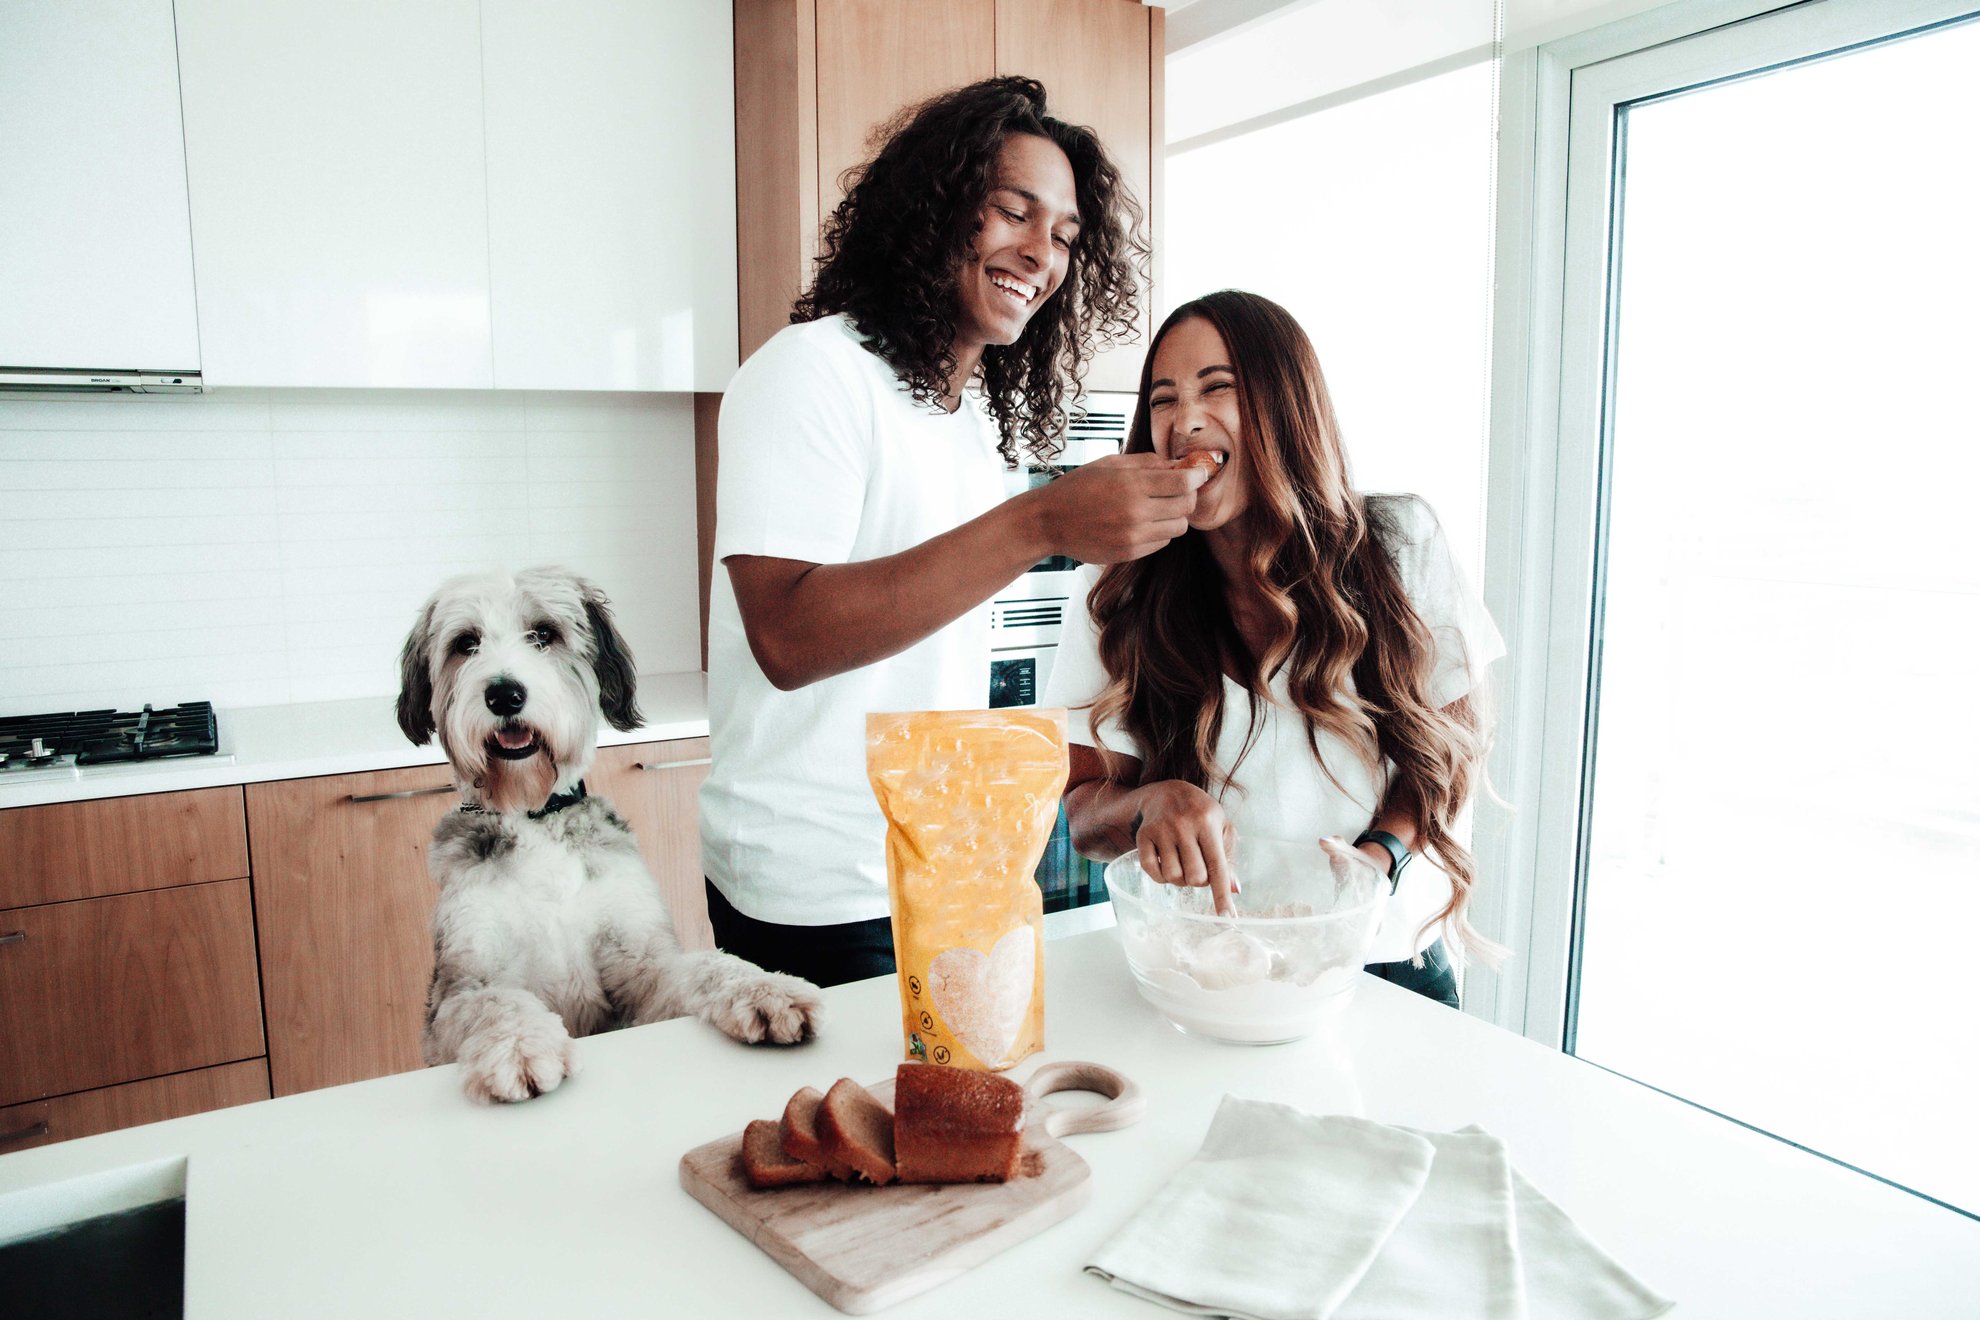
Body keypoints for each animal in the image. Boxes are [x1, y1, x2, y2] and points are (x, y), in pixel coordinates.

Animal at [397, 569, 815, 1108]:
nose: (505, 695)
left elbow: (704, 964)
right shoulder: (464, 981)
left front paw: (765, 990)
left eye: (544, 633)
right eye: (465, 643)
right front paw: (519, 1046)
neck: (535, 816)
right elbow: (495, 1002)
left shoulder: (640, 966)